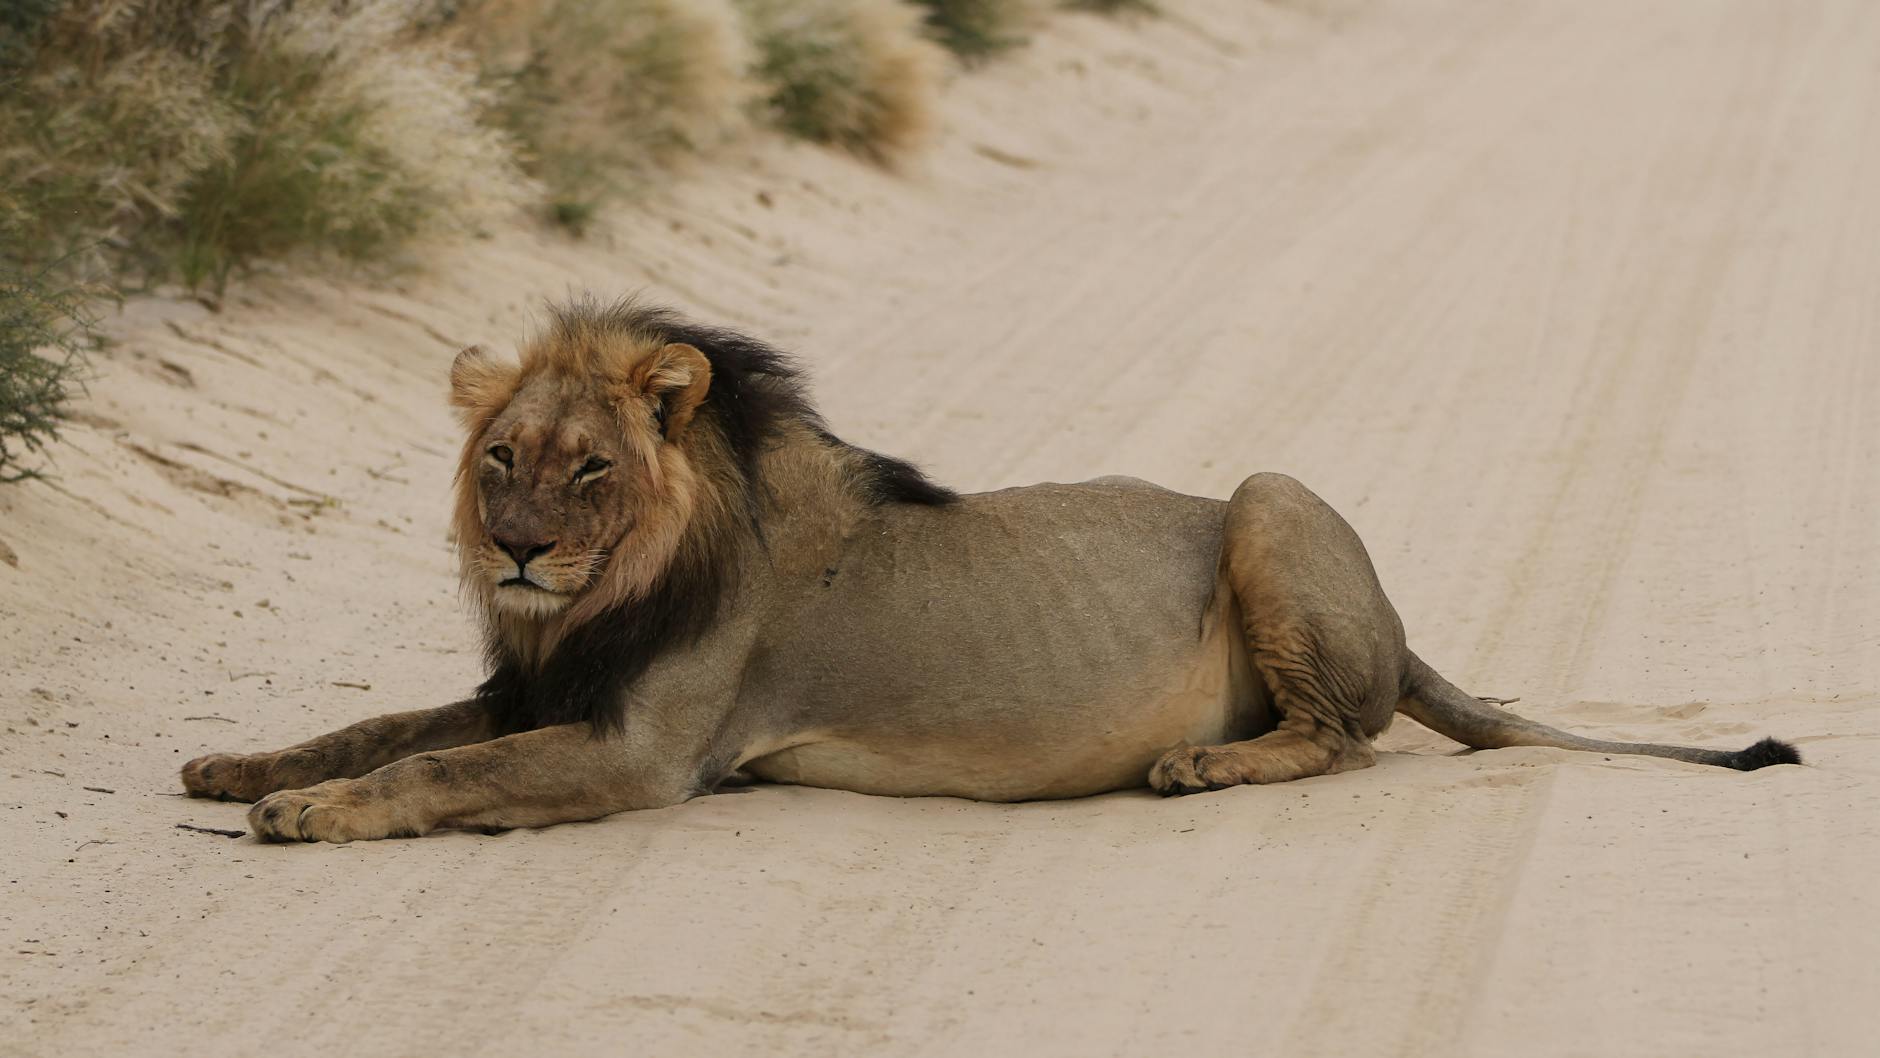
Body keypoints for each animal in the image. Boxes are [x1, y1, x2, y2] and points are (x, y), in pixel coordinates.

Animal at [180, 297, 1801, 842]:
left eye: (589, 469)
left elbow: (433, 769)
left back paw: (1199, 767)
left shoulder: (645, 750)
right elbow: (382, 725)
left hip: (1270, 498)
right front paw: (237, 765)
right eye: (502, 457)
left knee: (1340, 736)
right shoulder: (541, 686)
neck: (603, 594)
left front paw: (304, 814)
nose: (517, 548)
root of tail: (1403, 635)